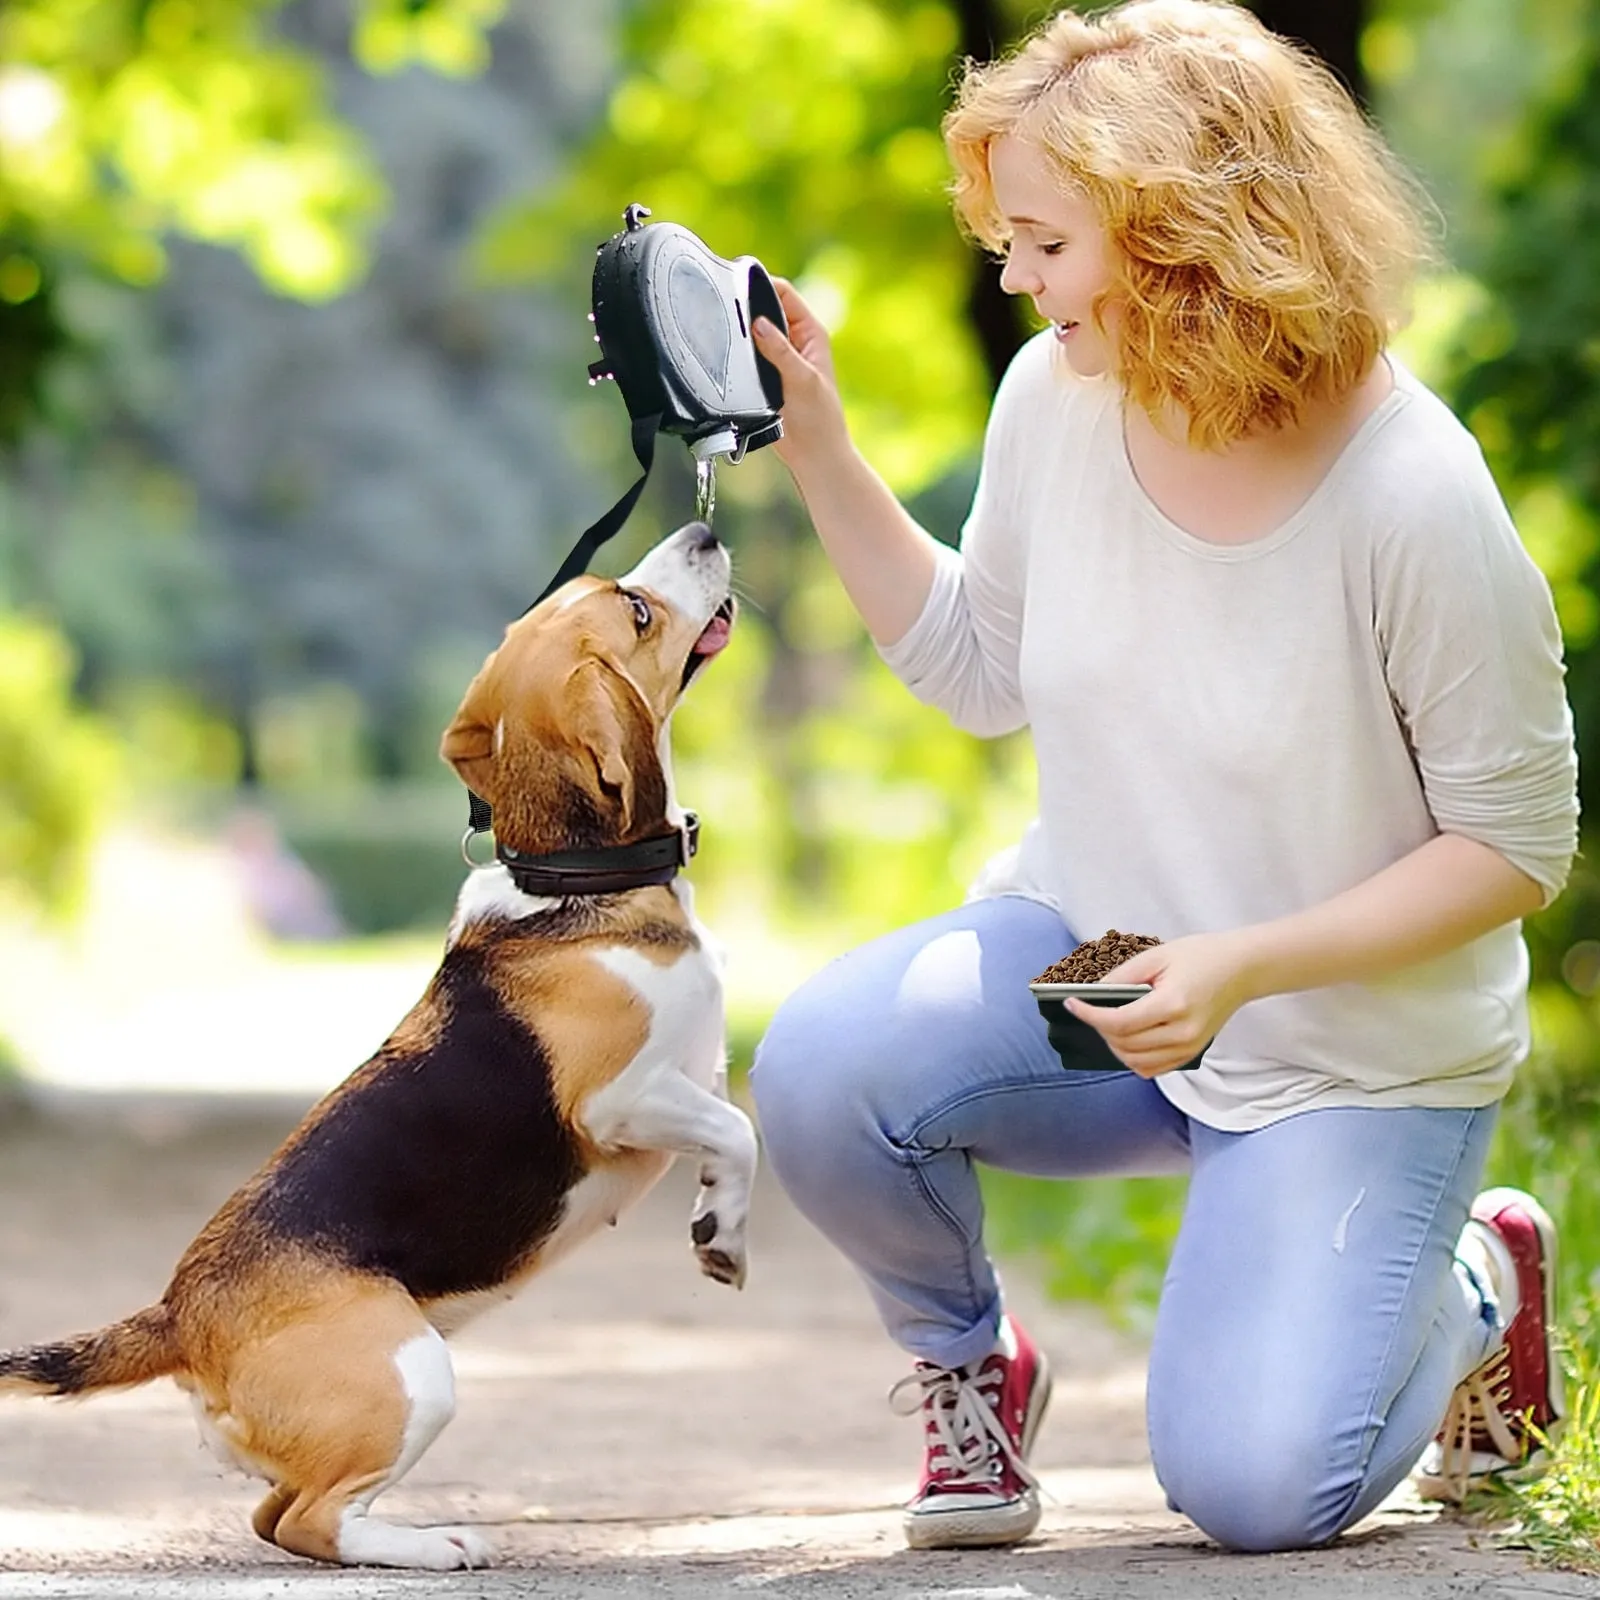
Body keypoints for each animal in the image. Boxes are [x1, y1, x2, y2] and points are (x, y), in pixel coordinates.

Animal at [0, 518, 755, 1568]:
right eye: (637, 611)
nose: (705, 528)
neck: (574, 881)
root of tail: (180, 1316)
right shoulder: (621, 1101)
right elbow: (739, 1131)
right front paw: (723, 1235)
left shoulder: (696, 1075)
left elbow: (732, 1130)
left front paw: (719, 1221)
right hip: (414, 1376)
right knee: (311, 1520)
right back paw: (436, 1545)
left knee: (276, 1519)